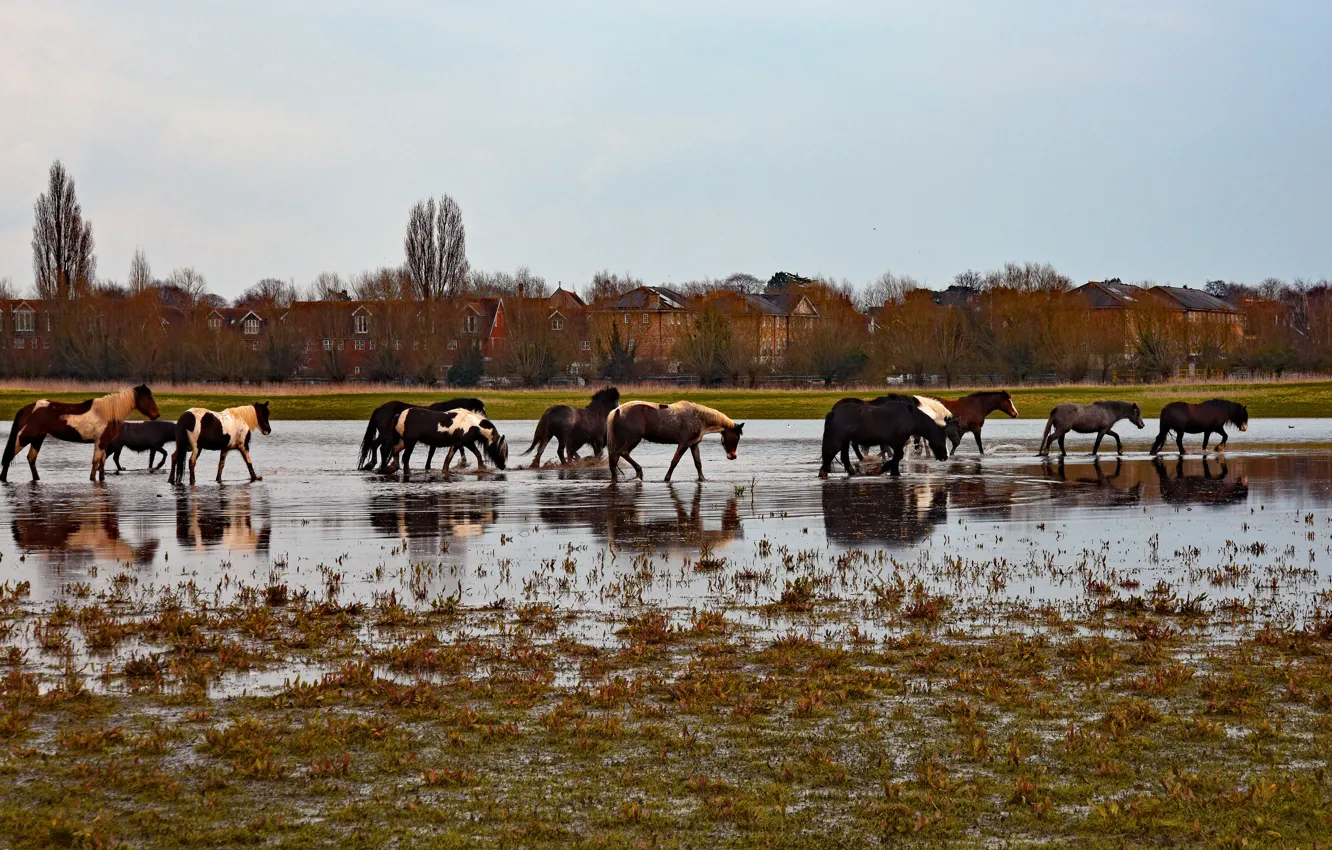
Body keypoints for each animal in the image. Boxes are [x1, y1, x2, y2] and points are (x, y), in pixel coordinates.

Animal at [1, 385, 159, 483]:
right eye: (148, 398)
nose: (156, 415)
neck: (107, 412)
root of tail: (27, 408)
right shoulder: (99, 442)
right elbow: (96, 462)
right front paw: (92, 479)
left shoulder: (104, 443)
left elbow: (102, 463)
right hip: (25, 437)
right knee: (10, 455)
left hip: (38, 438)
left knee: (31, 458)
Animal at [358, 397, 486, 472]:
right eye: (480, 409)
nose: (485, 421)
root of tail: (379, 409)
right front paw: (463, 462)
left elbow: (433, 453)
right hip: (386, 435)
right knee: (381, 447)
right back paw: (377, 465)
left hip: (386, 436)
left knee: (378, 446)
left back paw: (378, 465)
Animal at [606, 401, 744, 482]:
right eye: (736, 438)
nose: (733, 456)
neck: (699, 417)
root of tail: (617, 411)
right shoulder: (684, 444)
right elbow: (674, 462)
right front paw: (667, 478)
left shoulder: (694, 444)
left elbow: (698, 463)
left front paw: (703, 479)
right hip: (632, 439)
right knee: (623, 453)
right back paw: (639, 472)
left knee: (614, 459)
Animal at [820, 398, 949, 477]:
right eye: (943, 438)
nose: (945, 456)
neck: (910, 416)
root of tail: (833, 413)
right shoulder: (897, 443)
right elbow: (897, 457)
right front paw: (879, 470)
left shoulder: (897, 444)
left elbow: (895, 458)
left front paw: (894, 472)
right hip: (837, 442)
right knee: (828, 458)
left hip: (845, 442)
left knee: (844, 458)